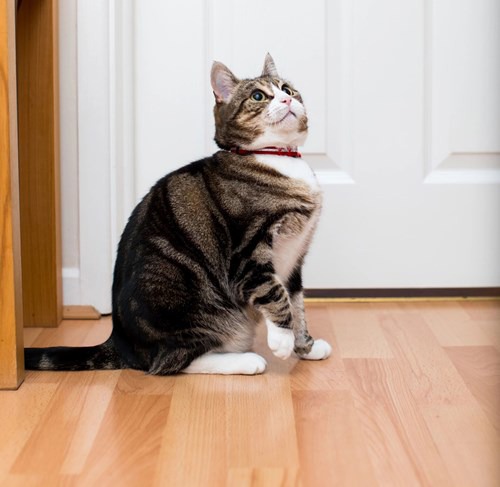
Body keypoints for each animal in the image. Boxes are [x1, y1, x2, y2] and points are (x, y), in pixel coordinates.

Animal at [26, 53, 332, 376]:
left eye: (288, 88)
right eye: (259, 96)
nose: (287, 99)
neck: (277, 158)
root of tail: (122, 343)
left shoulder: (295, 258)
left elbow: (297, 303)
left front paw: (306, 347)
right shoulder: (247, 251)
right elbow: (275, 293)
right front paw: (283, 340)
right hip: (192, 306)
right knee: (170, 362)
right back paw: (245, 360)